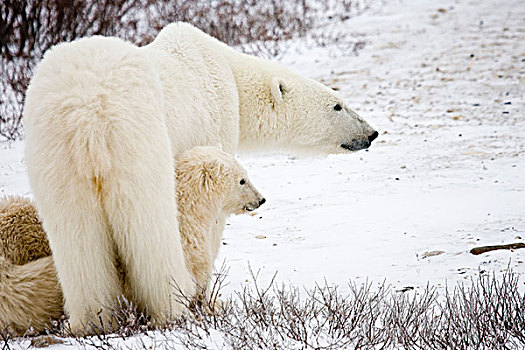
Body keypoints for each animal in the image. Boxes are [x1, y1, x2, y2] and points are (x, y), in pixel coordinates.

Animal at [0, 146, 262, 334]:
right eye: (242, 180)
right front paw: (214, 305)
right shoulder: (184, 243)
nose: (261, 199)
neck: (183, 207)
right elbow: (194, 280)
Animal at [23, 21, 376, 330]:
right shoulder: (215, 119)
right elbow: (213, 211)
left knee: (77, 238)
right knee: (151, 225)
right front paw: (209, 297)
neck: (230, 74)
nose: (371, 134)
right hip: (136, 140)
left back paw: (93, 319)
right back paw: (173, 306)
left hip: (54, 156)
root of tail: (84, 114)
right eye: (337, 106)